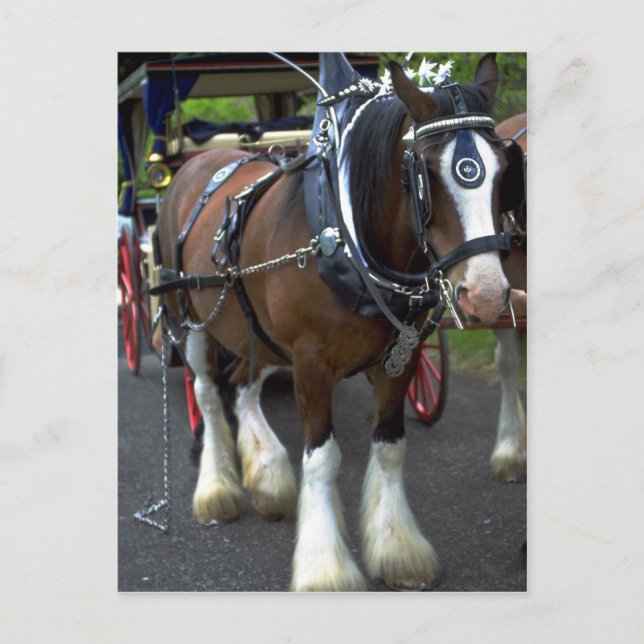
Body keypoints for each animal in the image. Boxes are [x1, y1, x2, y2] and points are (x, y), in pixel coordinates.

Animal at [155, 53, 520, 591]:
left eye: (505, 169)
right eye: (426, 174)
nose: (489, 294)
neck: (348, 238)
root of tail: (196, 166)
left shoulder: (401, 357)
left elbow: (390, 447)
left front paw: (398, 550)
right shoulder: (310, 363)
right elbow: (323, 457)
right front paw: (325, 568)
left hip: (256, 334)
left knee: (242, 385)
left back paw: (268, 476)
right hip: (189, 317)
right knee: (207, 391)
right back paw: (217, 489)